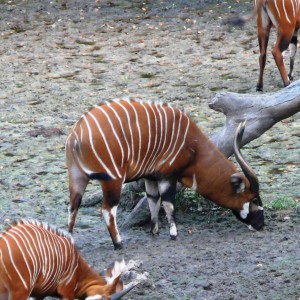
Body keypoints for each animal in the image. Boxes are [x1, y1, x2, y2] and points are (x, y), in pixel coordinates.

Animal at [65, 99, 262, 250]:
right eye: (254, 199)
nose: (262, 224)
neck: (193, 145)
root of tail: (76, 134)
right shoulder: (167, 176)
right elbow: (169, 203)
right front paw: (174, 234)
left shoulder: (150, 178)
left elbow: (153, 201)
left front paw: (155, 231)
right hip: (113, 180)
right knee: (107, 209)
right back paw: (119, 243)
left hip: (78, 178)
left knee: (73, 207)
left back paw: (71, 243)